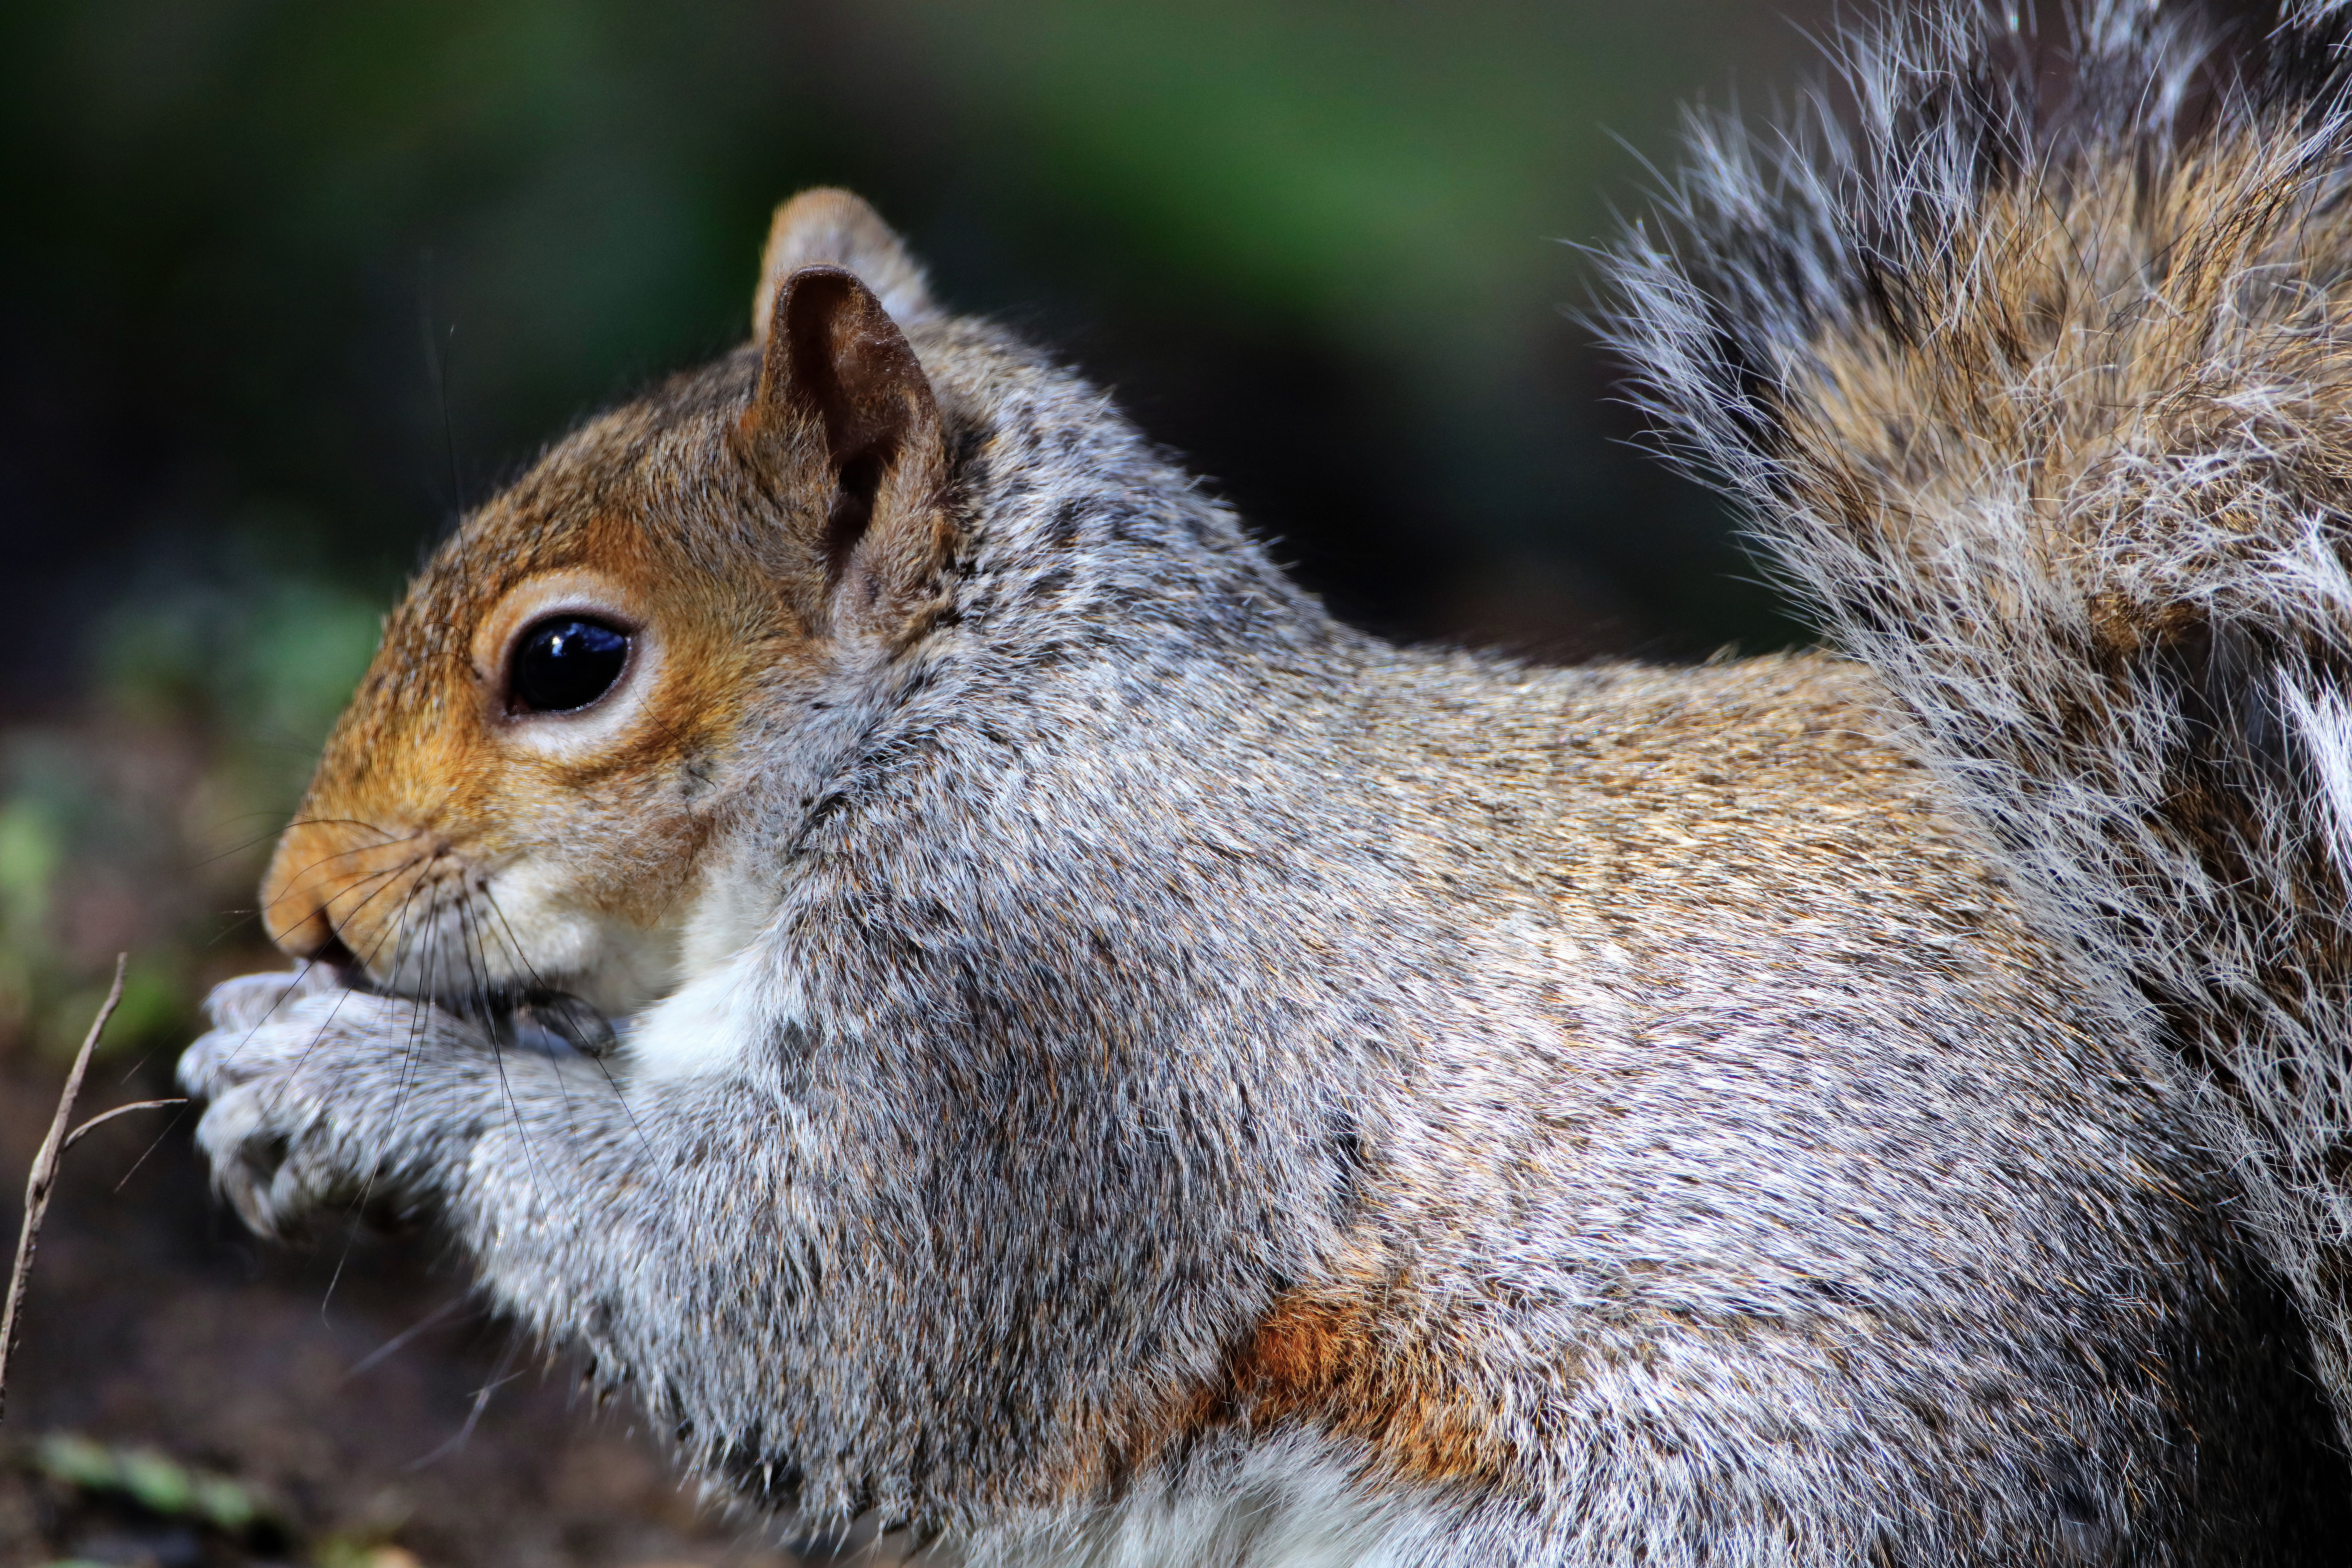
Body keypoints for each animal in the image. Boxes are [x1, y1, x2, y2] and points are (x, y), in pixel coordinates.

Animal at [174, 0, 2352, 1560]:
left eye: (568, 661)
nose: (298, 903)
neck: (981, 722)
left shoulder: (1046, 1022)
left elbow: (816, 1320)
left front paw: (341, 1071)